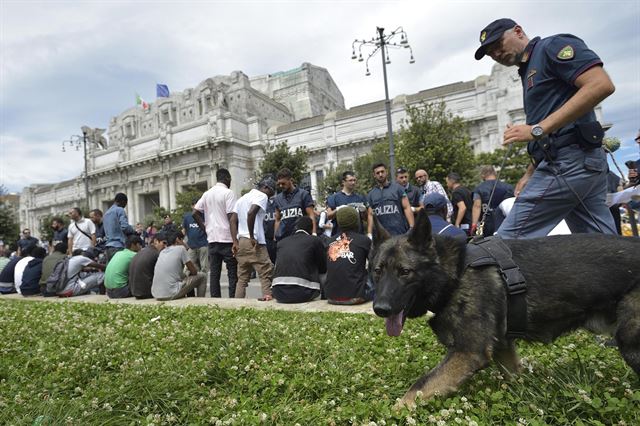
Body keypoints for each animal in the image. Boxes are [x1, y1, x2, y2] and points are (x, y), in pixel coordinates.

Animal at [370, 211, 640, 408]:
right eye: (377, 271)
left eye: (405, 272)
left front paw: (393, 412)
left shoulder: (468, 352)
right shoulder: (502, 348)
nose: (380, 309)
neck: (455, 273)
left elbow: (419, 387)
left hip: (630, 341)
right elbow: (515, 377)